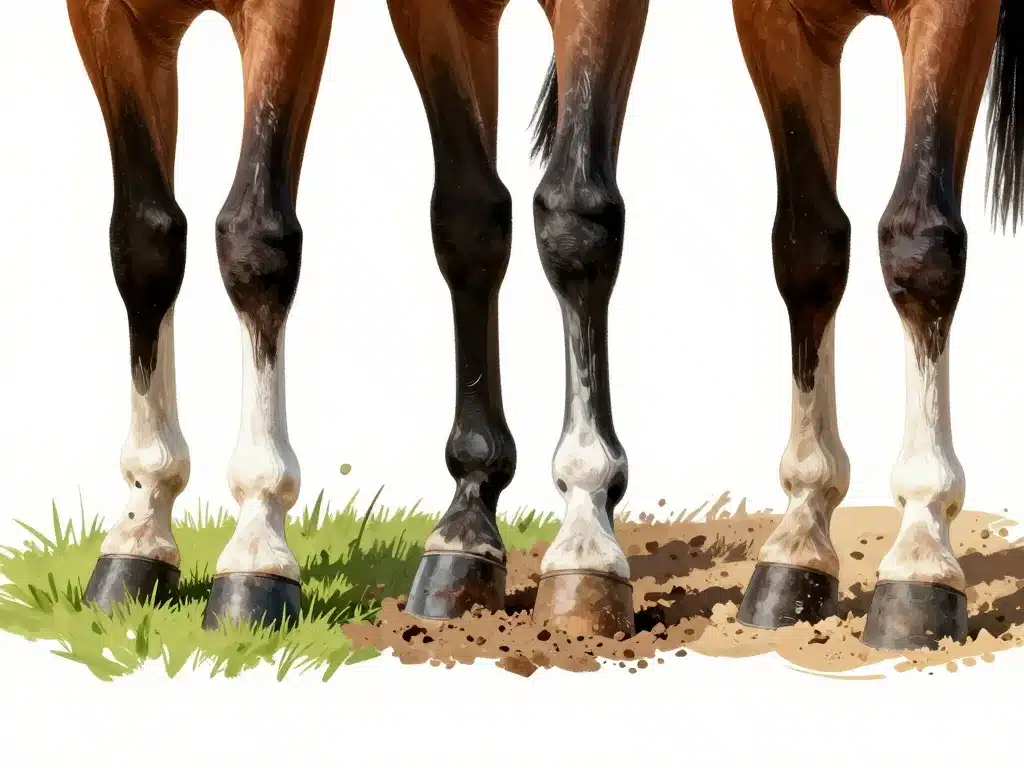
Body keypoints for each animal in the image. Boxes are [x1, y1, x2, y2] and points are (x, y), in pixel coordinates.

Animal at [731, 0, 1023, 652]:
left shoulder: (955, 14)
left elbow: (920, 240)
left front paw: (921, 549)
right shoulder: (773, 19)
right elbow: (809, 244)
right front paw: (799, 537)